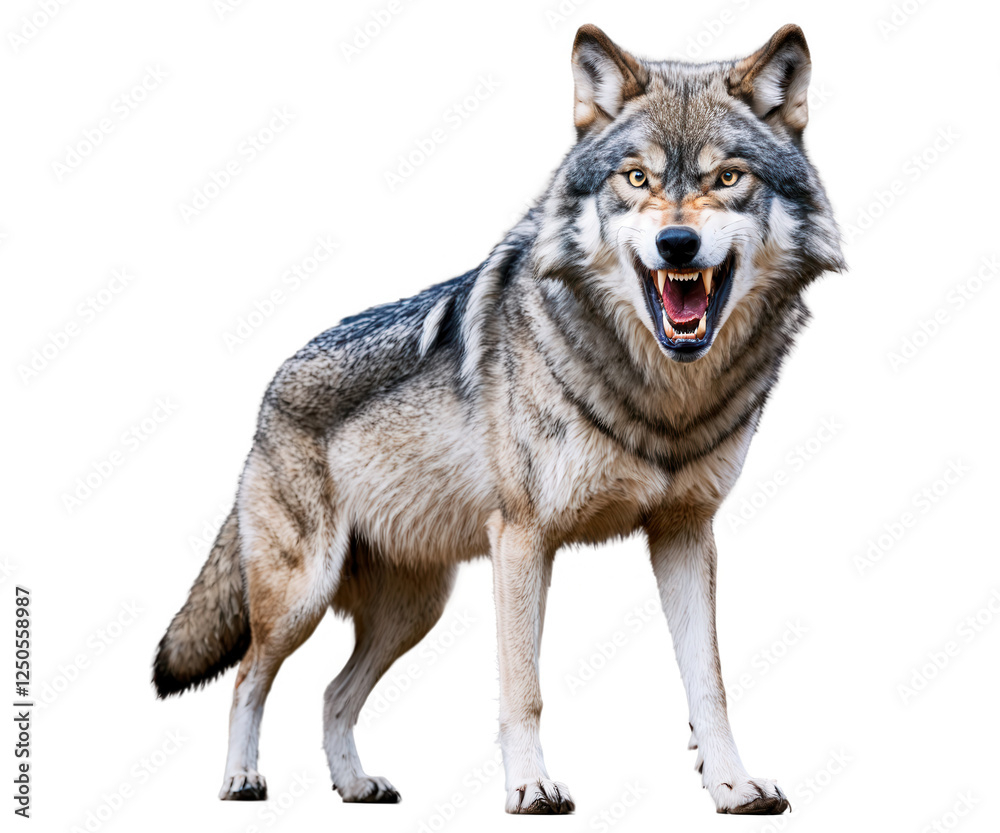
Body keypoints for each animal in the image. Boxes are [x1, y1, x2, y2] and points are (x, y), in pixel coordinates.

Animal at [153, 23, 843, 815]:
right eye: (635, 179)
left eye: (728, 178)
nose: (677, 246)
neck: (665, 395)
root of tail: (269, 392)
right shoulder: (522, 539)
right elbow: (525, 689)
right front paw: (531, 786)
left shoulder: (684, 533)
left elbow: (710, 683)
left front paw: (733, 785)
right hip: (301, 594)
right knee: (248, 677)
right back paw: (241, 779)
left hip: (415, 611)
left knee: (331, 693)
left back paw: (356, 785)